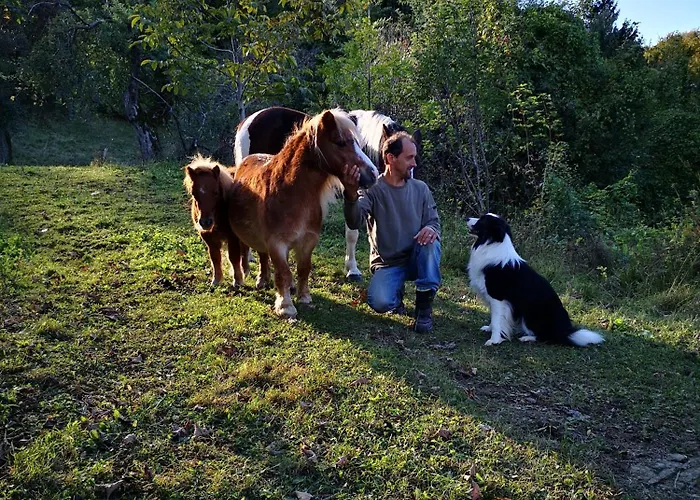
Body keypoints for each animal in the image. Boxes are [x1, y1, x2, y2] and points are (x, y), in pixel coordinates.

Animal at [184, 155, 270, 289]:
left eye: (215, 192)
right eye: (194, 193)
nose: (206, 222)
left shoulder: (232, 237)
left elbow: (233, 257)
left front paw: (238, 280)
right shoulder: (208, 238)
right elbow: (215, 258)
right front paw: (216, 280)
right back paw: (247, 271)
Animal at [229, 108, 379, 318]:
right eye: (341, 142)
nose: (373, 174)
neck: (292, 194)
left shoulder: (308, 241)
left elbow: (303, 268)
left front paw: (304, 297)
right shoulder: (277, 243)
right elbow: (283, 272)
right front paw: (285, 306)